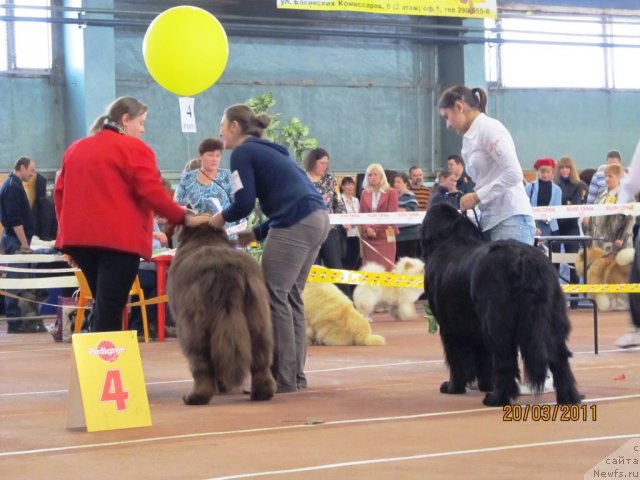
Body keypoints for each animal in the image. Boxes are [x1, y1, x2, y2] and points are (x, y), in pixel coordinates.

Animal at [168, 225, 276, 404]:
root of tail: (226, 269)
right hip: (257, 317)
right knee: (260, 358)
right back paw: (262, 393)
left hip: (192, 325)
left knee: (201, 362)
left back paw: (196, 397)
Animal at [422, 202, 584, 404]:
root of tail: (524, 260)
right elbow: (482, 359)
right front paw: (484, 384)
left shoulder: (450, 326)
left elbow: (456, 358)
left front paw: (453, 387)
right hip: (553, 316)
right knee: (559, 356)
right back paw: (569, 396)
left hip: (495, 319)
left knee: (504, 358)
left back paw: (497, 398)